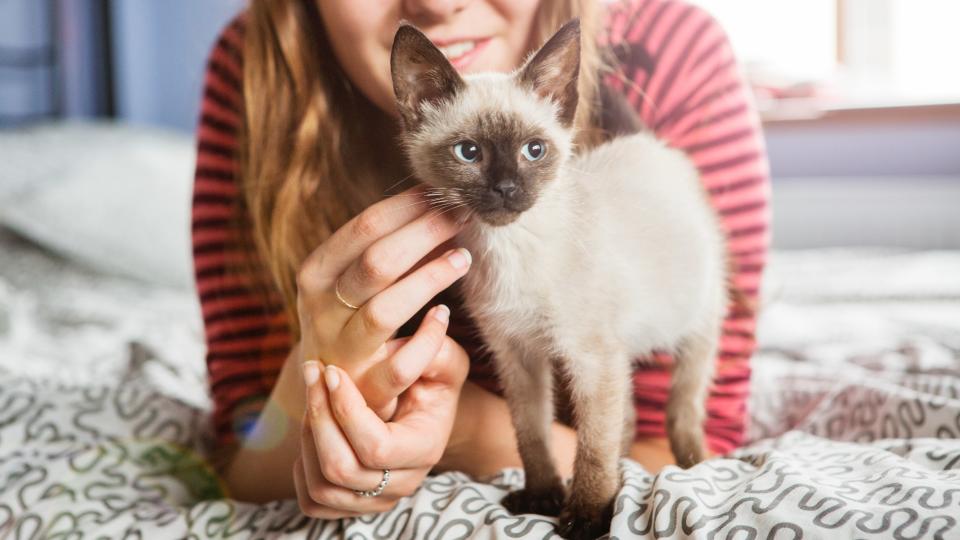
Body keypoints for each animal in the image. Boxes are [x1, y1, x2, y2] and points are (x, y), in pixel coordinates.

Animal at [390, 20, 728, 540]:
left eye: (534, 151)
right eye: (469, 152)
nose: (506, 189)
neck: (510, 250)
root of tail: (648, 145)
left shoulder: (590, 358)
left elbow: (591, 447)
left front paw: (587, 515)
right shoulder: (518, 356)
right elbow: (532, 432)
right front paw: (542, 496)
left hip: (695, 323)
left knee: (682, 405)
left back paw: (692, 462)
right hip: (620, 353)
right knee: (626, 418)